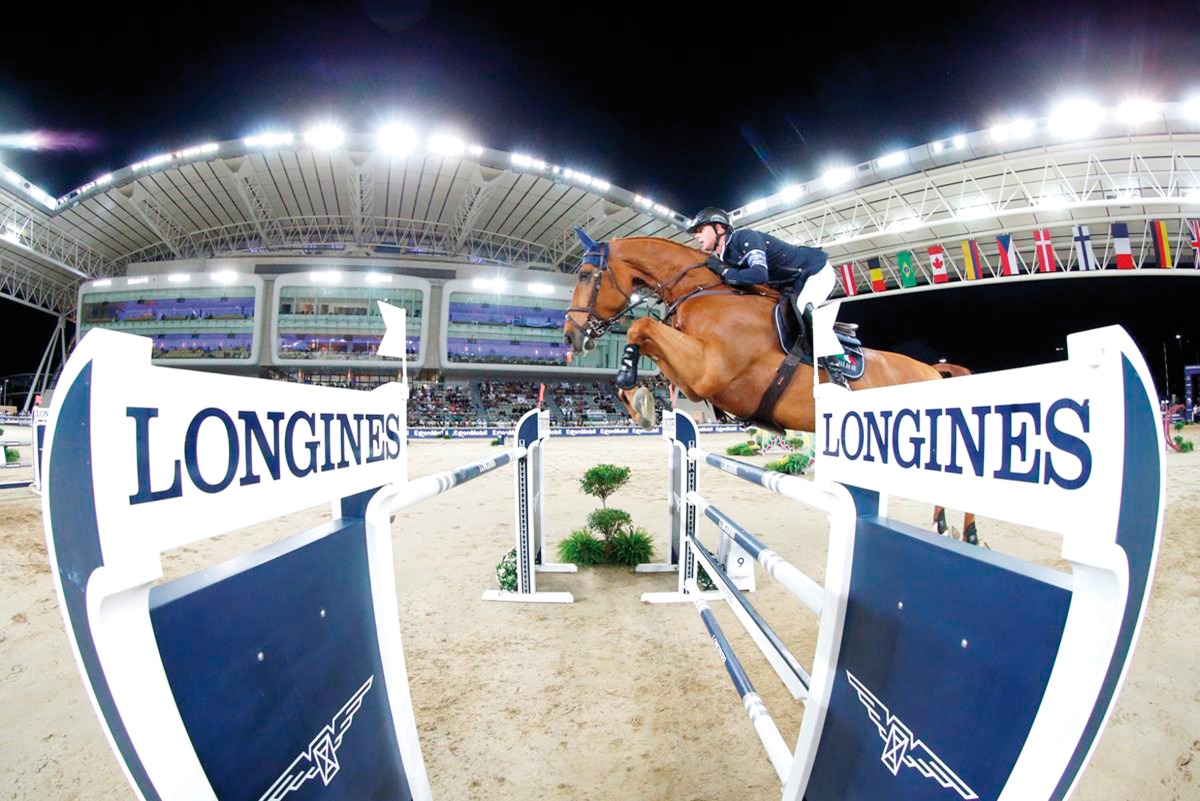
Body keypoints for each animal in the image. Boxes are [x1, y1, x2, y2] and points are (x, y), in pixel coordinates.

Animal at [561, 232, 974, 544]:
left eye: (585, 275)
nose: (569, 337)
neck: (701, 291)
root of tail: (932, 370)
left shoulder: (708, 370)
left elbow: (640, 326)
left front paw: (632, 385)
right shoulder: (696, 380)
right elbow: (648, 343)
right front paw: (639, 402)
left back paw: (964, 532)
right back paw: (945, 526)